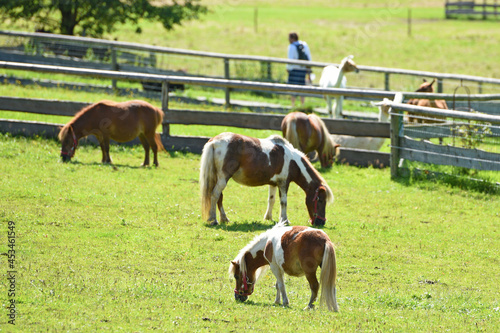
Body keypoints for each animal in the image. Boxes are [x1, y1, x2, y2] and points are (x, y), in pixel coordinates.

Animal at [198, 132, 332, 226]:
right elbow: (283, 202)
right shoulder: (284, 183)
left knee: (219, 197)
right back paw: (213, 219)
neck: (292, 161)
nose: (321, 222)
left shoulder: (273, 183)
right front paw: (285, 220)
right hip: (223, 178)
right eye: (320, 200)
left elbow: (271, 200)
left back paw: (224, 219)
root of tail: (214, 141)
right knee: (215, 195)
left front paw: (269, 217)